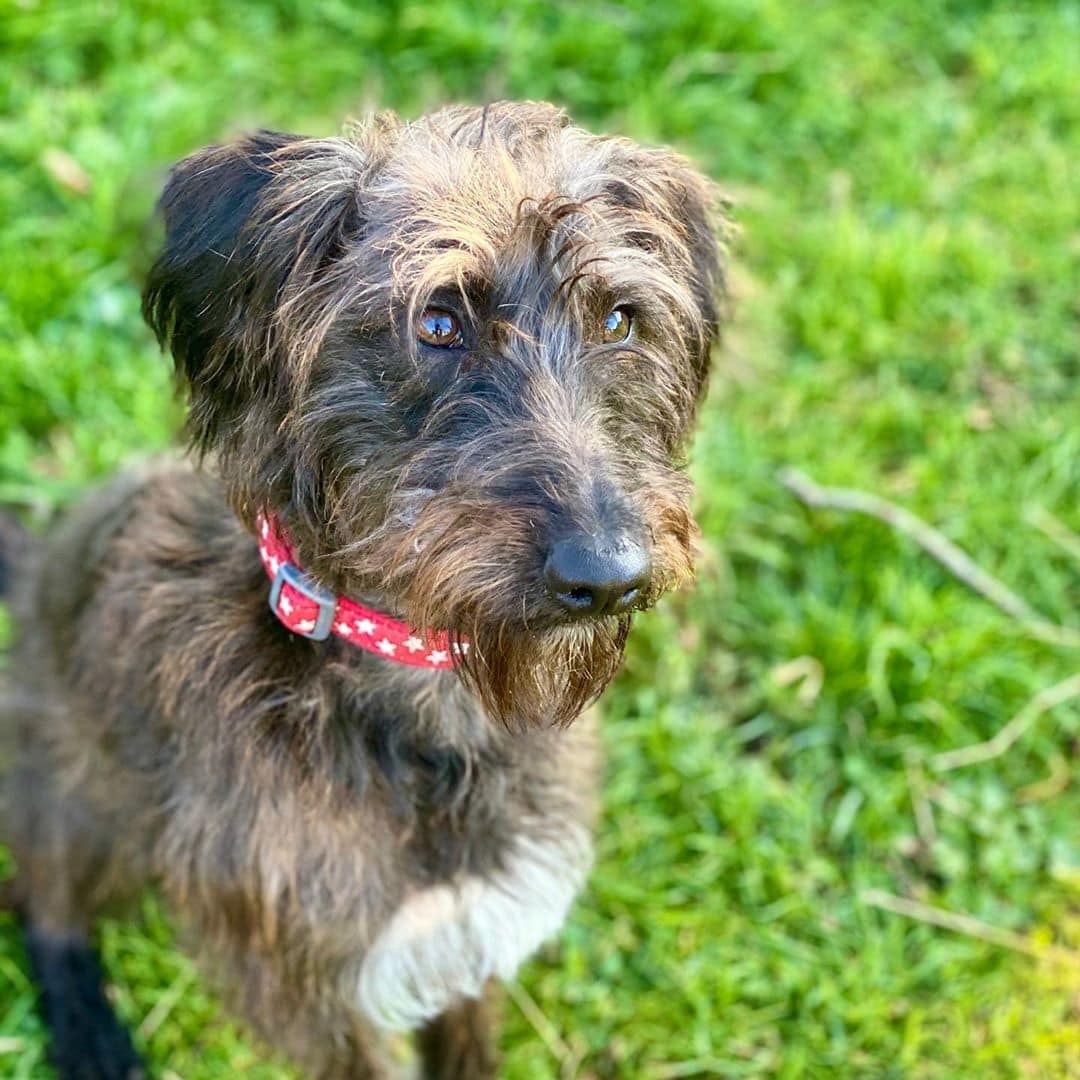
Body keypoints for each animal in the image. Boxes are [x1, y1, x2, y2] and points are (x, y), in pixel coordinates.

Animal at [0, 99, 730, 1071]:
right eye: (437, 324)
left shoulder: (470, 932)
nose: (608, 577)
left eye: (618, 320)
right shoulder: (309, 980)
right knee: (46, 901)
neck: (420, 698)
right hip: (77, 797)